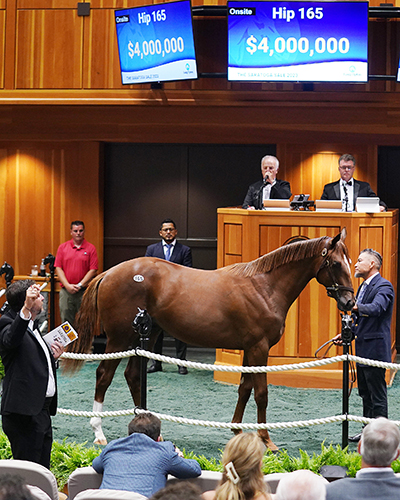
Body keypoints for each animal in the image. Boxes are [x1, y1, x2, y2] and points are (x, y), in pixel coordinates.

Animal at [64, 229, 354, 452]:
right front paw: (266, 440)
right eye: (336, 264)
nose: (350, 302)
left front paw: (237, 429)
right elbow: (261, 393)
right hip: (119, 338)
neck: (264, 287)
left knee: (133, 376)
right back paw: (99, 432)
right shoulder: (259, 349)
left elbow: (244, 388)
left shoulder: (249, 349)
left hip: (144, 336)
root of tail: (109, 273)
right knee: (104, 375)